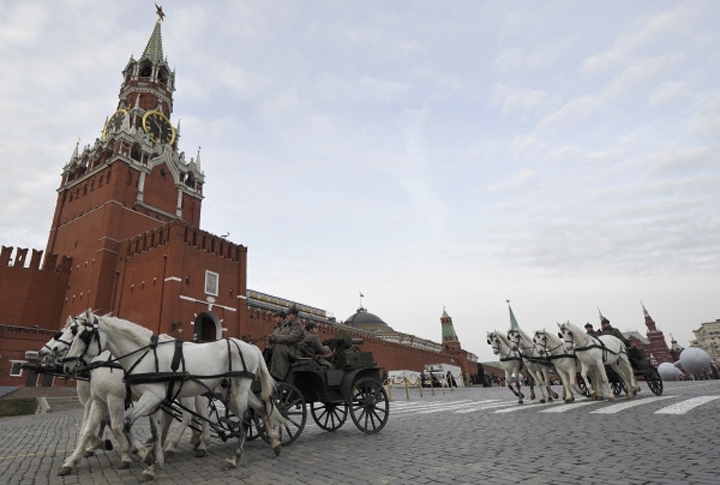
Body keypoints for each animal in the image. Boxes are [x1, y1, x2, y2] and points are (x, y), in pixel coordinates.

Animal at [39, 320, 210, 474]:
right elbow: (88, 429)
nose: (45, 353)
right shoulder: (96, 401)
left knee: (190, 415)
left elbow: (114, 426)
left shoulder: (114, 398)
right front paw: (75, 458)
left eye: (72, 331)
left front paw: (126, 453)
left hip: (184, 394)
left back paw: (180, 446)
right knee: (182, 415)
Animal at [61, 310, 284, 480]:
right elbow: (154, 430)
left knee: (245, 418)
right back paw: (274, 442)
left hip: (238, 388)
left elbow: (124, 424)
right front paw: (153, 464)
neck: (143, 356)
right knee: (261, 407)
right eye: (72, 332)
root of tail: (251, 346)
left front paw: (142, 454)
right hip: (227, 388)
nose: (66, 366)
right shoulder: (151, 400)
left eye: (82, 335)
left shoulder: (139, 397)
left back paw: (234, 457)